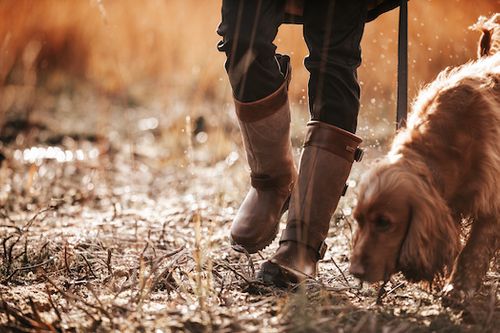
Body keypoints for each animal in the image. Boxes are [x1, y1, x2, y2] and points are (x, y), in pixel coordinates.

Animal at [350, 14, 498, 304]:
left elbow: (474, 248)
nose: (355, 272)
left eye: (384, 223)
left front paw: (458, 287)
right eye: (358, 219)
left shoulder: (491, 199)